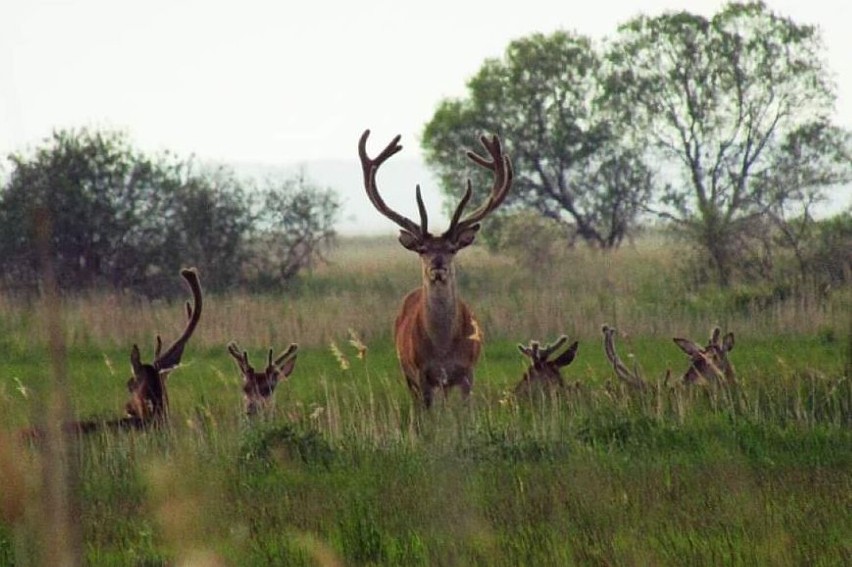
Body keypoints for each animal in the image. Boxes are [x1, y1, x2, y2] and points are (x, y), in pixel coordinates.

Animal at [358, 130, 512, 406]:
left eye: (452, 248)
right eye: (422, 250)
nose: (437, 267)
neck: (442, 350)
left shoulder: (467, 372)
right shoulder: (421, 373)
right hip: (406, 371)